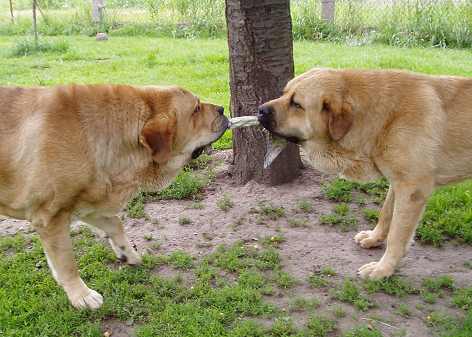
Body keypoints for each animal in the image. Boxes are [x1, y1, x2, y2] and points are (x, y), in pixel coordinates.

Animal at [0, 83, 229, 308]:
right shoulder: (51, 217)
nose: (222, 109)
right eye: (196, 109)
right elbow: (67, 263)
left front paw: (127, 253)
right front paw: (81, 295)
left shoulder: (89, 203)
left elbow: (115, 224)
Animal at [260, 67, 472, 278]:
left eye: (297, 104)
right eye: (284, 93)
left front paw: (383, 269)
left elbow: (396, 236)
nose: (260, 110)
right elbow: (386, 214)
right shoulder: (398, 183)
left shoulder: (412, 190)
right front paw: (374, 238)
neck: (385, 117)